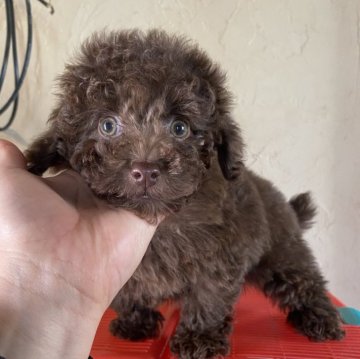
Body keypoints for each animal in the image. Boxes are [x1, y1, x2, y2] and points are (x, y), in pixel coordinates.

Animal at [26, 30, 344, 359]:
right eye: (108, 125)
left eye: (180, 128)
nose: (146, 169)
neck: (160, 223)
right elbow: (127, 292)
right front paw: (136, 322)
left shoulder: (220, 253)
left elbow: (209, 295)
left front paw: (200, 338)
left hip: (283, 251)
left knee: (304, 281)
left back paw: (320, 319)